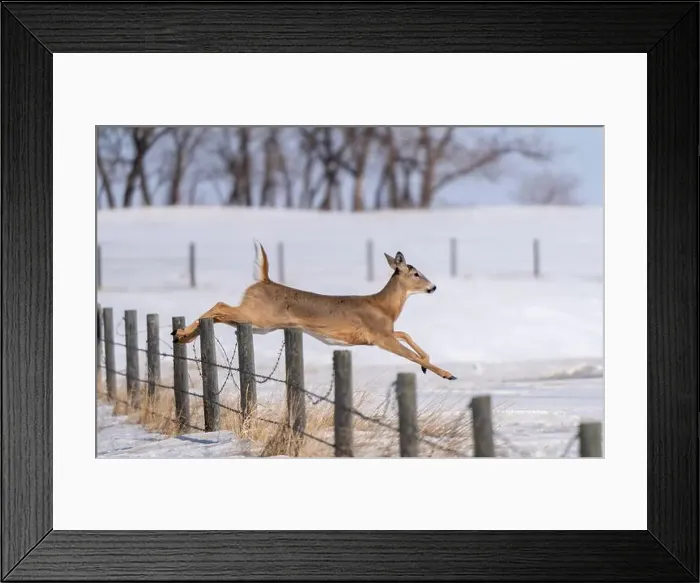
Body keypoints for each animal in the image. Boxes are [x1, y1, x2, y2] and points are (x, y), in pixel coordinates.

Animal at [172, 243, 457, 380]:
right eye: (416, 273)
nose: (432, 287)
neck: (383, 306)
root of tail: (263, 280)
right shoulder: (379, 336)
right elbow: (409, 353)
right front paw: (447, 374)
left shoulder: (381, 333)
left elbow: (406, 335)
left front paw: (428, 364)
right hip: (258, 316)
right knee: (219, 306)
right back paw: (180, 333)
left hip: (259, 324)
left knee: (220, 314)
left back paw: (181, 336)